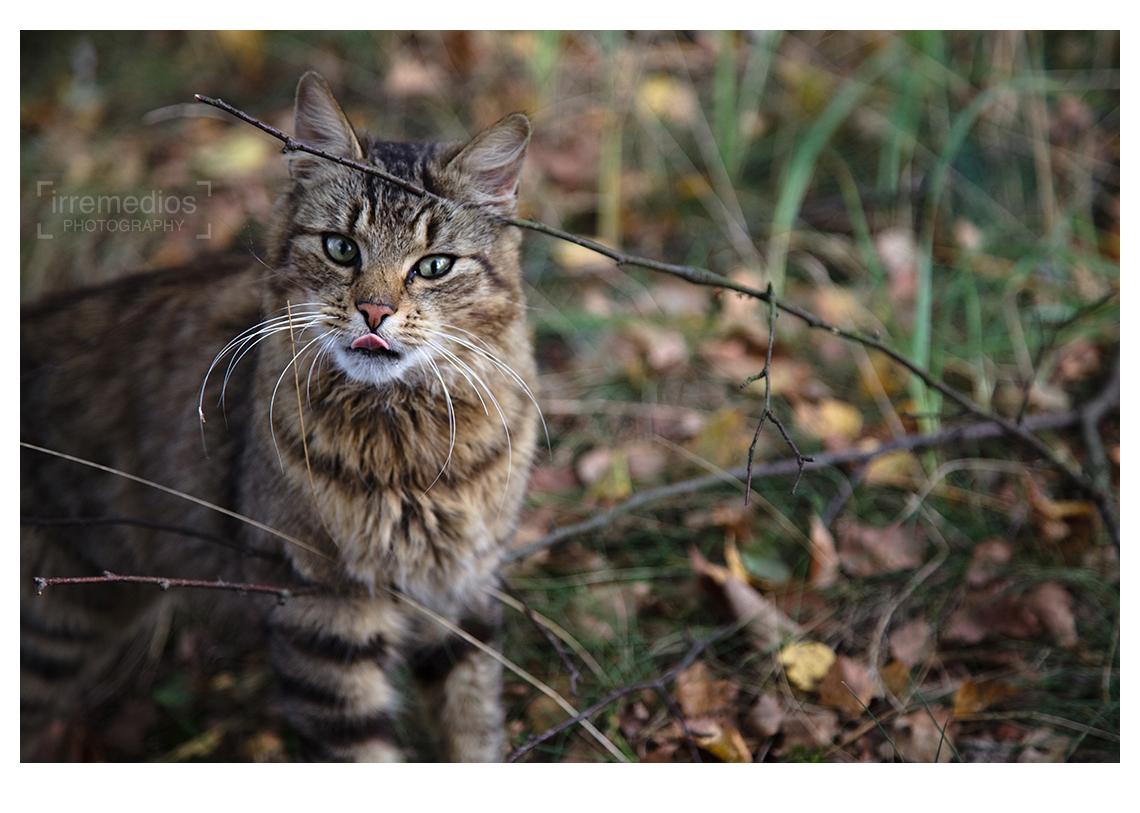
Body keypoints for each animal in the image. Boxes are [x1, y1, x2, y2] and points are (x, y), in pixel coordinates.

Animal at [21, 71, 538, 761]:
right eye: (341, 248)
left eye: (434, 265)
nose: (374, 311)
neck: (403, 445)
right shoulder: (320, 613)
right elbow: (366, 752)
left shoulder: (462, 592)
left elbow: (474, 730)